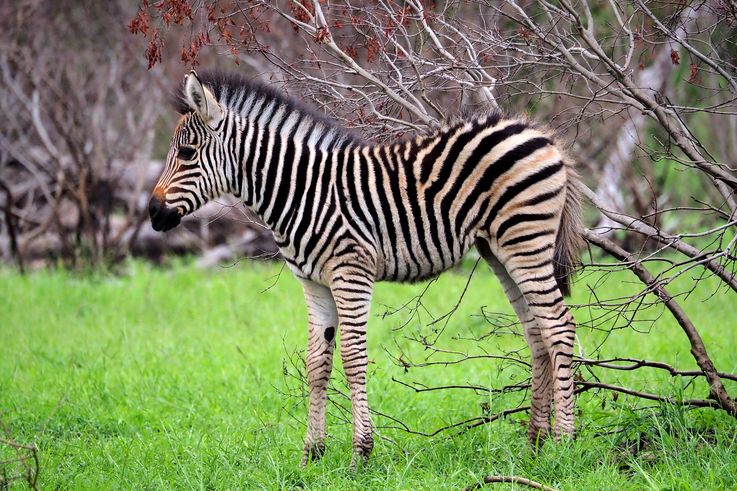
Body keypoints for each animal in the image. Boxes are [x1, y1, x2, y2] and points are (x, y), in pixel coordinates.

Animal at [149, 70, 583, 466]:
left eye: (187, 153)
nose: (152, 213)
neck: (300, 193)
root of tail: (537, 132)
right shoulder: (313, 283)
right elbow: (317, 363)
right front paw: (312, 454)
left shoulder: (350, 273)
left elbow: (353, 360)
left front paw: (361, 454)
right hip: (498, 249)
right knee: (536, 332)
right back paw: (534, 443)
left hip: (525, 241)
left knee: (559, 325)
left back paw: (563, 442)